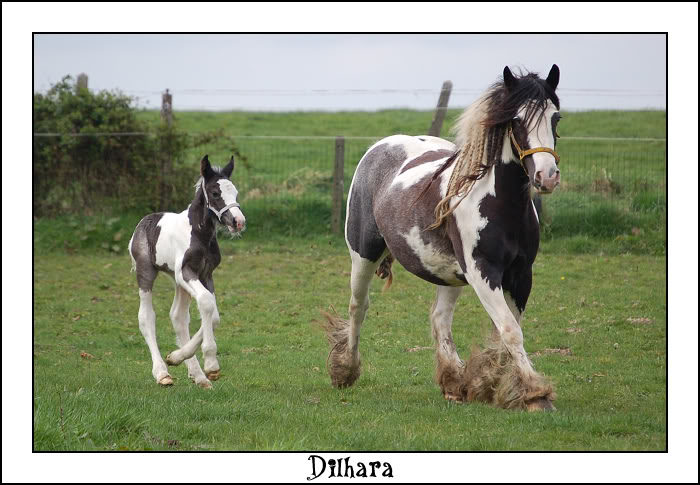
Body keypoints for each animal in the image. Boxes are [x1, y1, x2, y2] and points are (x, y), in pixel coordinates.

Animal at [324, 65, 564, 408]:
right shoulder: (482, 273)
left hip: (449, 274)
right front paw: (535, 394)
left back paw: (453, 382)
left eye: (556, 118)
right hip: (364, 254)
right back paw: (345, 371)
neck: (500, 204)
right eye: (517, 120)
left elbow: (506, 331)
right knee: (359, 306)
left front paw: (486, 383)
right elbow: (509, 330)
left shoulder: (521, 274)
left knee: (440, 318)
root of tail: (382, 146)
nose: (547, 176)